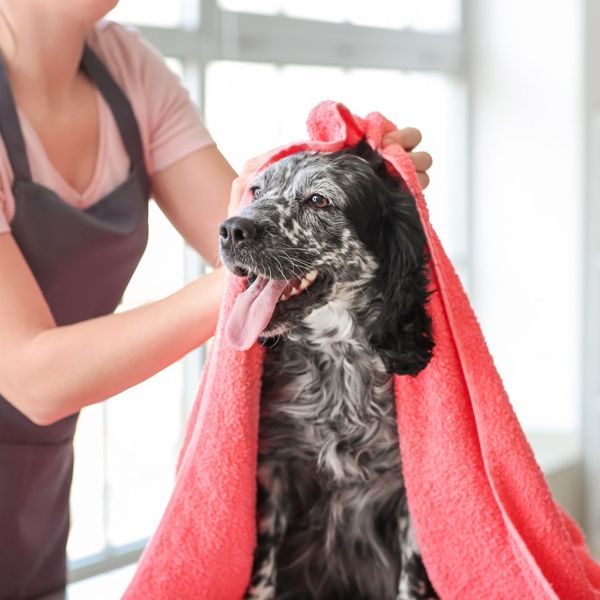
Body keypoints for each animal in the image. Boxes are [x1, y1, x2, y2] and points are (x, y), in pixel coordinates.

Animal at [218, 142, 438, 600]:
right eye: (256, 191)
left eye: (319, 200)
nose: (230, 230)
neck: (339, 364)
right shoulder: (275, 473)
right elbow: (262, 569)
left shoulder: (411, 496)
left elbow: (411, 576)